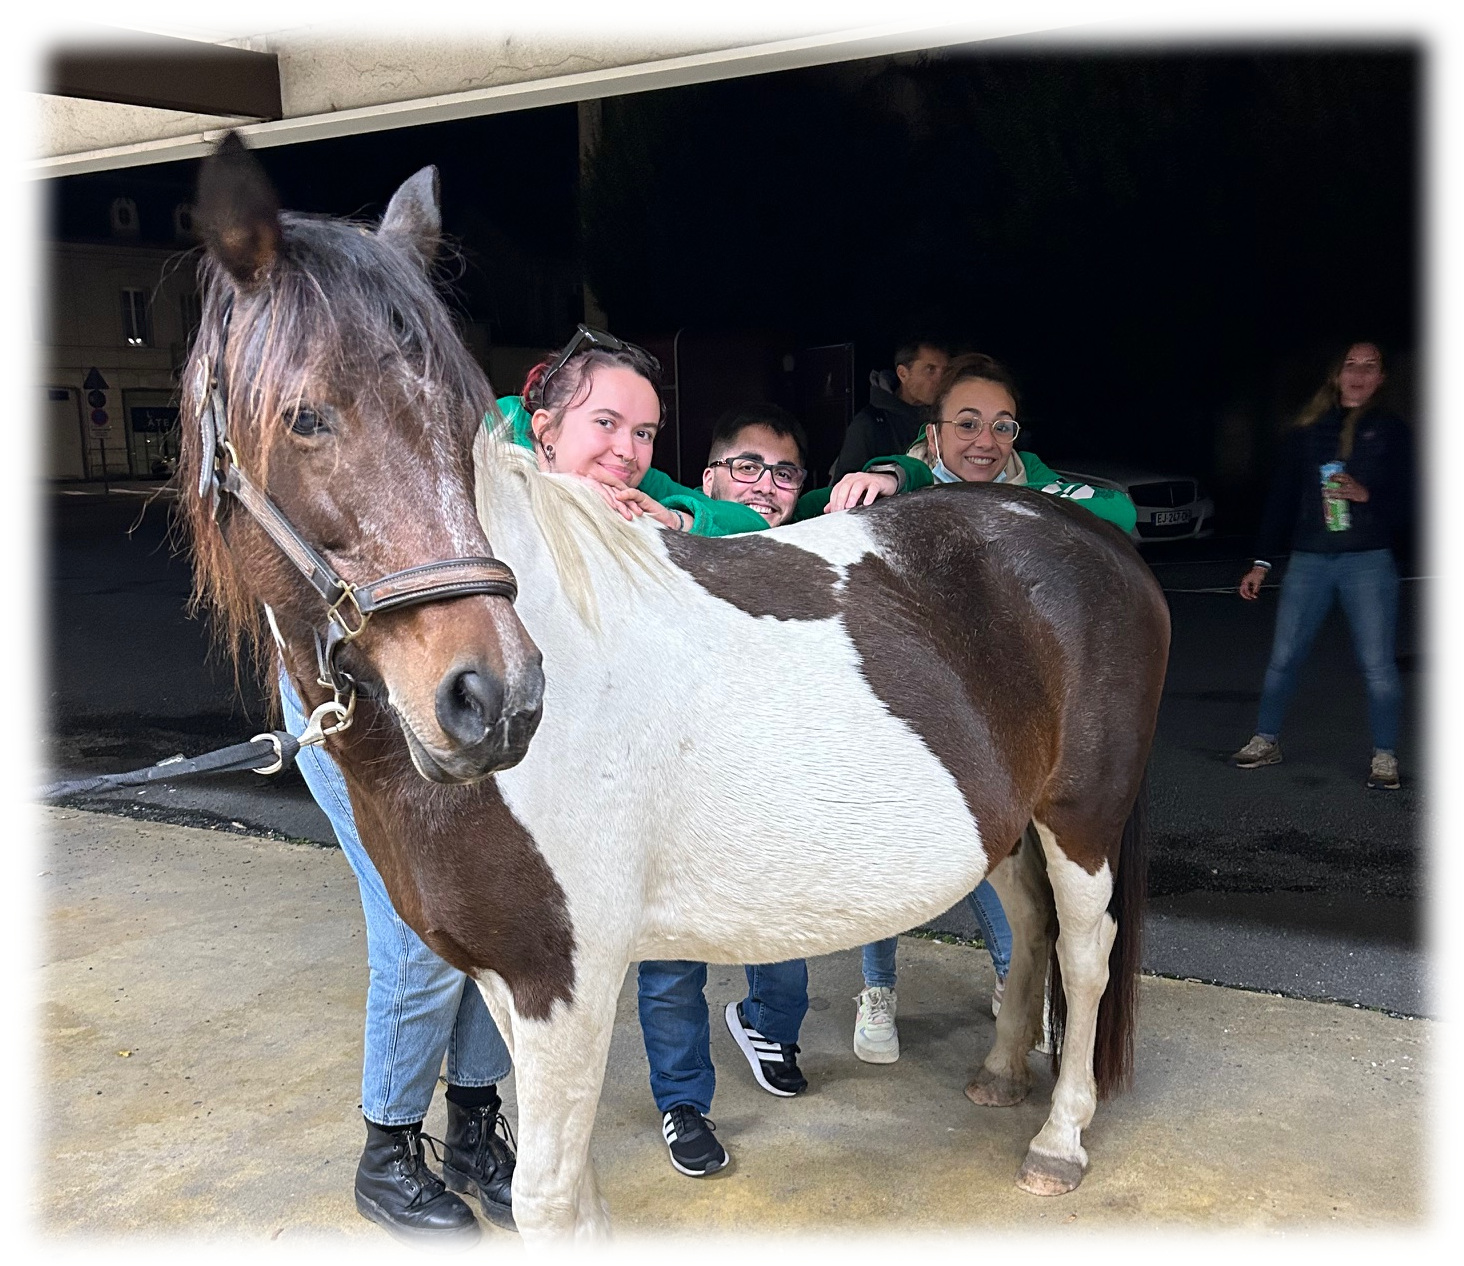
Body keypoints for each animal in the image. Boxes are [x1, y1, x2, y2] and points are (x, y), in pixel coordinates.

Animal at [180, 138, 1165, 1235]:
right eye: (306, 416)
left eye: (459, 422)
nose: (494, 700)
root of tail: (1089, 529)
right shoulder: (506, 979)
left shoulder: (562, 977)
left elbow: (549, 1200)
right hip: (1011, 820)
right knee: (1030, 926)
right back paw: (998, 1075)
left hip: (1082, 819)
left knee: (1084, 955)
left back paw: (1058, 1140)